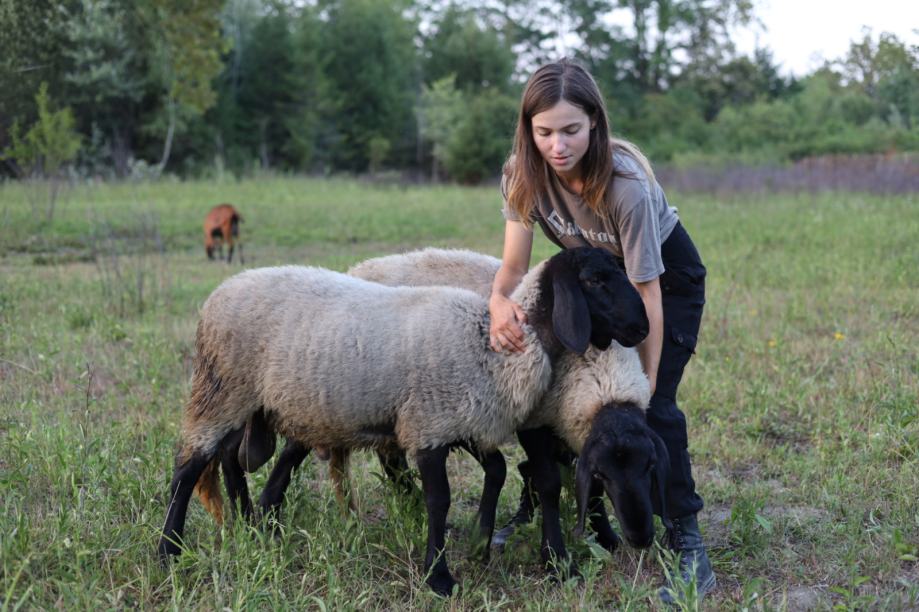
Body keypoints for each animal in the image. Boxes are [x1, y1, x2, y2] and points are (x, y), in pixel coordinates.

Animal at [156, 246, 648, 596]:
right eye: (594, 280)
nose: (642, 329)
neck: (497, 341)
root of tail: (220, 293)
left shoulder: (457, 420)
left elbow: (496, 471)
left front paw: (478, 544)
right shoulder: (428, 427)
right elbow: (439, 501)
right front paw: (440, 577)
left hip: (249, 402)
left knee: (228, 458)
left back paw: (248, 526)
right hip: (221, 389)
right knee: (189, 466)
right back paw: (168, 552)